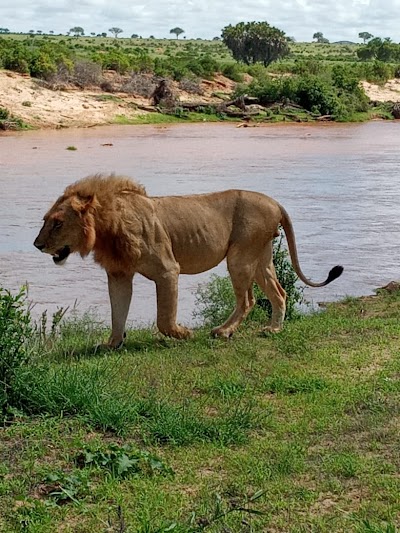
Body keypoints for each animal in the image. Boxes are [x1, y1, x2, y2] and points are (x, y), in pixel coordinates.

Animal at [33, 175, 344, 348]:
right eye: (45, 220)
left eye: (58, 223)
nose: (37, 245)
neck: (105, 227)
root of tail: (275, 202)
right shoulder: (119, 273)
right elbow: (117, 312)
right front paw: (112, 344)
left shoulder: (168, 270)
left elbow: (163, 317)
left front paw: (184, 333)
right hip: (261, 258)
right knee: (278, 293)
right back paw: (273, 329)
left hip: (240, 256)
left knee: (248, 300)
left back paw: (223, 331)